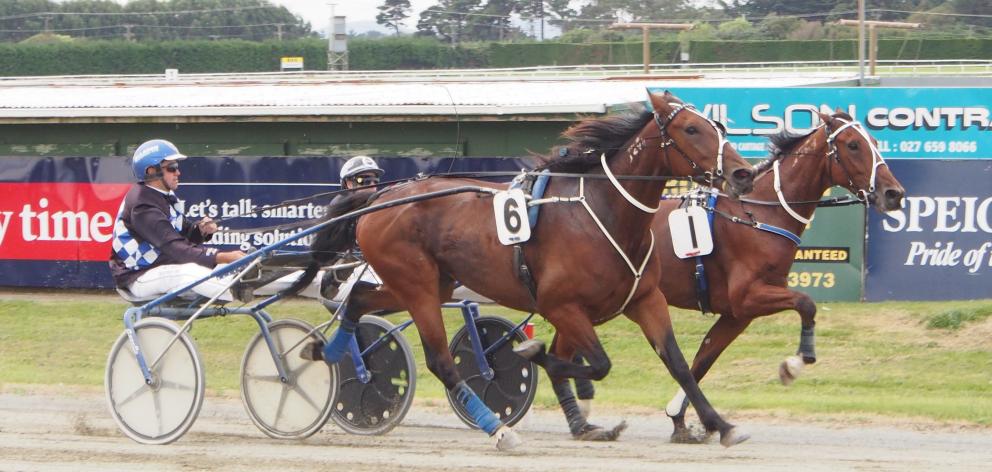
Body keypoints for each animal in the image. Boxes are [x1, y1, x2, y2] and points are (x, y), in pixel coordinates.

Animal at [302, 91, 752, 450]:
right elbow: (594, 363)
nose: (743, 173)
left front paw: (720, 424)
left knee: (358, 300)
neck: (603, 212)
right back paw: (498, 429)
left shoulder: (644, 299)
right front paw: (531, 353)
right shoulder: (562, 306)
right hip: (417, 287)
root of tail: (380, 196)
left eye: (718, 125)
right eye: (692, 129)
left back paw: (322, 352)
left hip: (425, 284)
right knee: (441, 362)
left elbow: (678, 364)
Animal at [560, 109, 904, 442]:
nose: (894, 193)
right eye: (854, 145)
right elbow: (806, 303)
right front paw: (793, 365)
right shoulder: (748, 297)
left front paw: (681, 420)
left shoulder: (738, 314)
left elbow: (702, 360)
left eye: (875, 141)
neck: (759, 214)